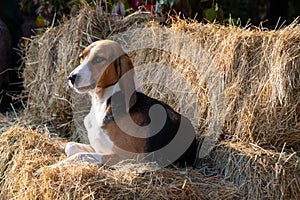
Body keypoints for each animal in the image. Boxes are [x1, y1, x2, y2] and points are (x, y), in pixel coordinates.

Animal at [65, 39, 197, 167]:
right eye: (81, 57)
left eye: (98, 59)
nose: (71, 77)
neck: (102, 103)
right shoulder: (98, 148)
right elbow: (70, 146)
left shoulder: (129, 157)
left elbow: (80, 155)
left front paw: (60, 164)